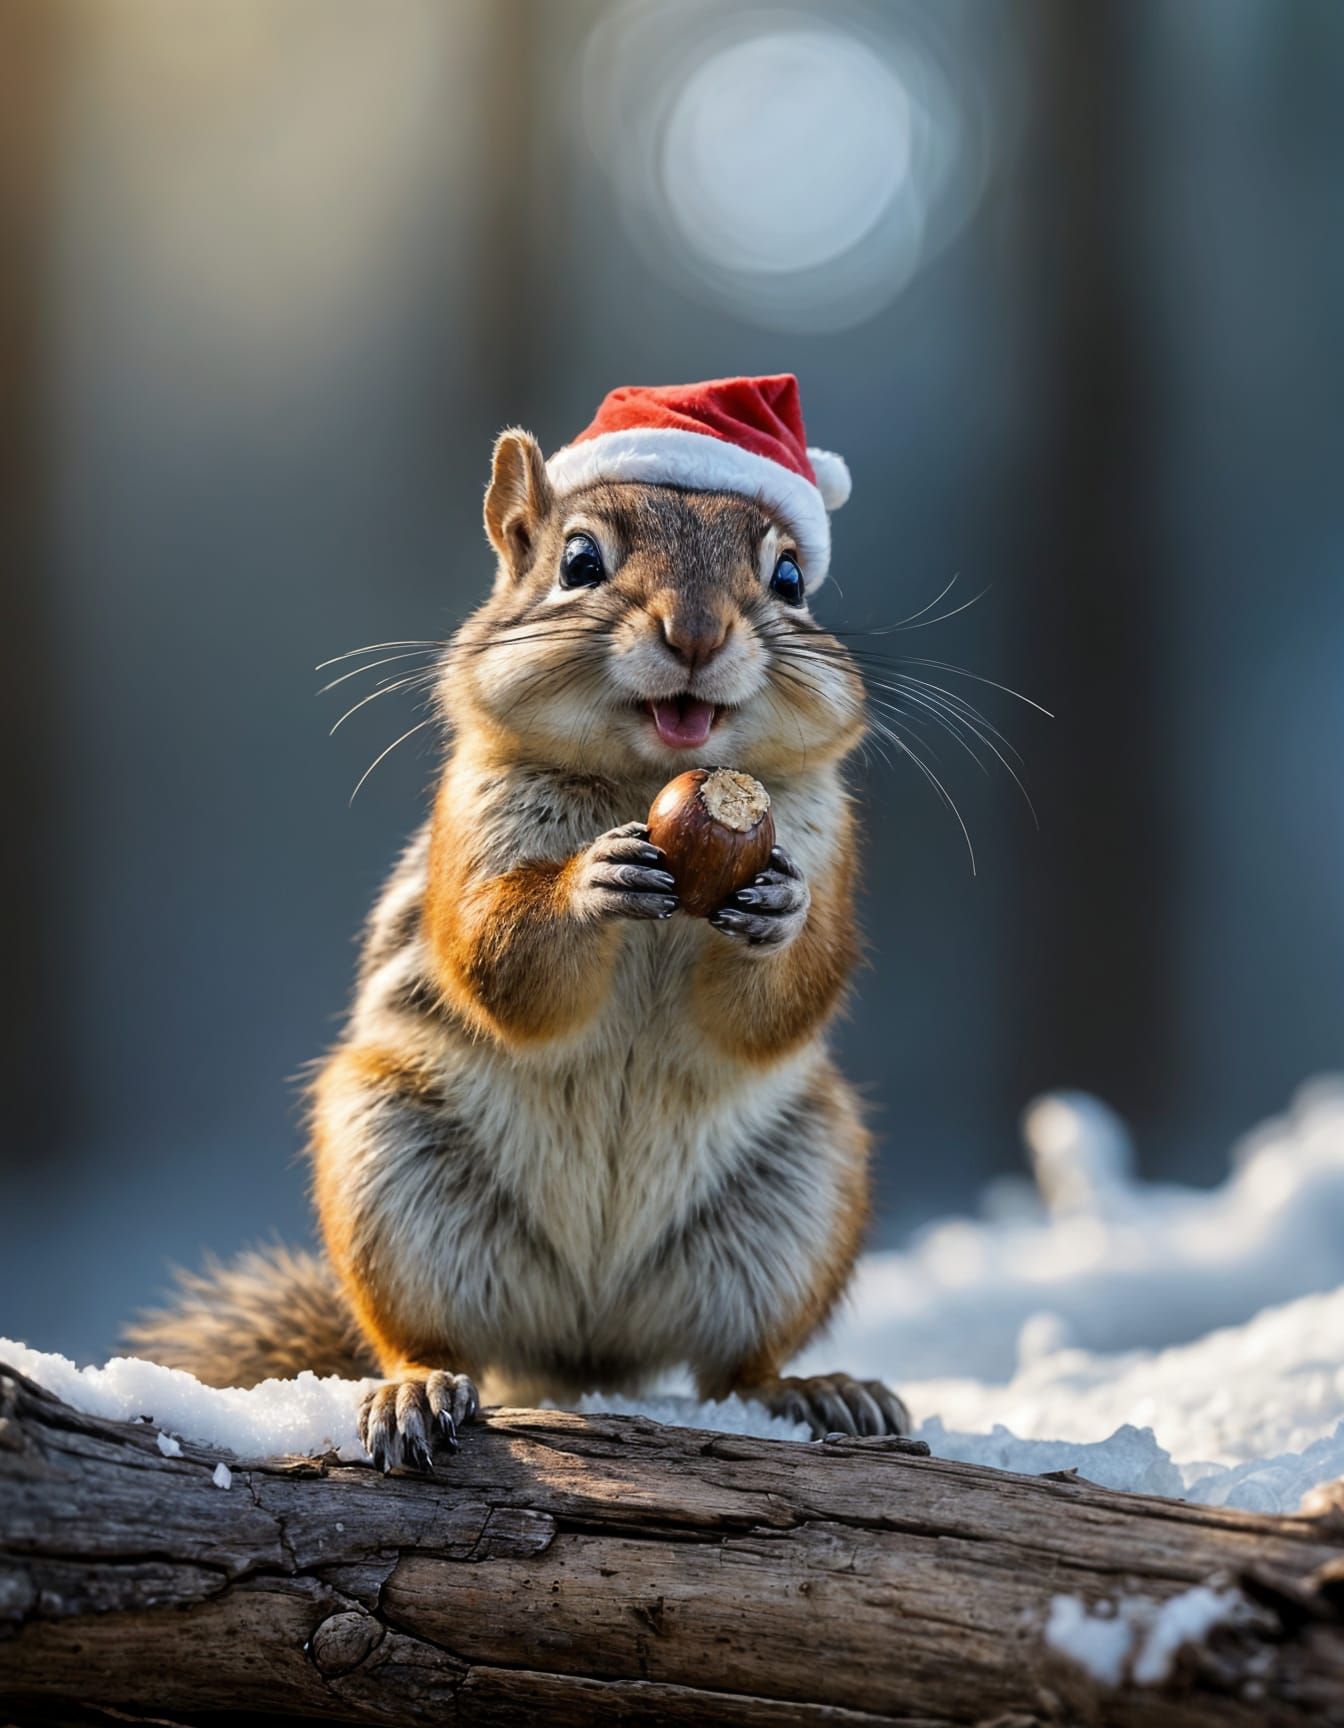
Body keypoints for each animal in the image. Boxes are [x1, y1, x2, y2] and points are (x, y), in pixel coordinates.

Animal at [129, 376, 910, 1468]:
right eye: (579, 562)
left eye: (792, 578)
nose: (697, 634)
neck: (645, 780)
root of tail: (583, 1347)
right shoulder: (473, 824)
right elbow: (501, 962)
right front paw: (589, 879)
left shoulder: (824, 837)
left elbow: (782, 1000)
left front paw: (780, 910)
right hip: (391, 1176)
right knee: (424, 1339)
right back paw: (415, 1391)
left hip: (804, 1194)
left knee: (736, 1368)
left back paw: (820, 1391)